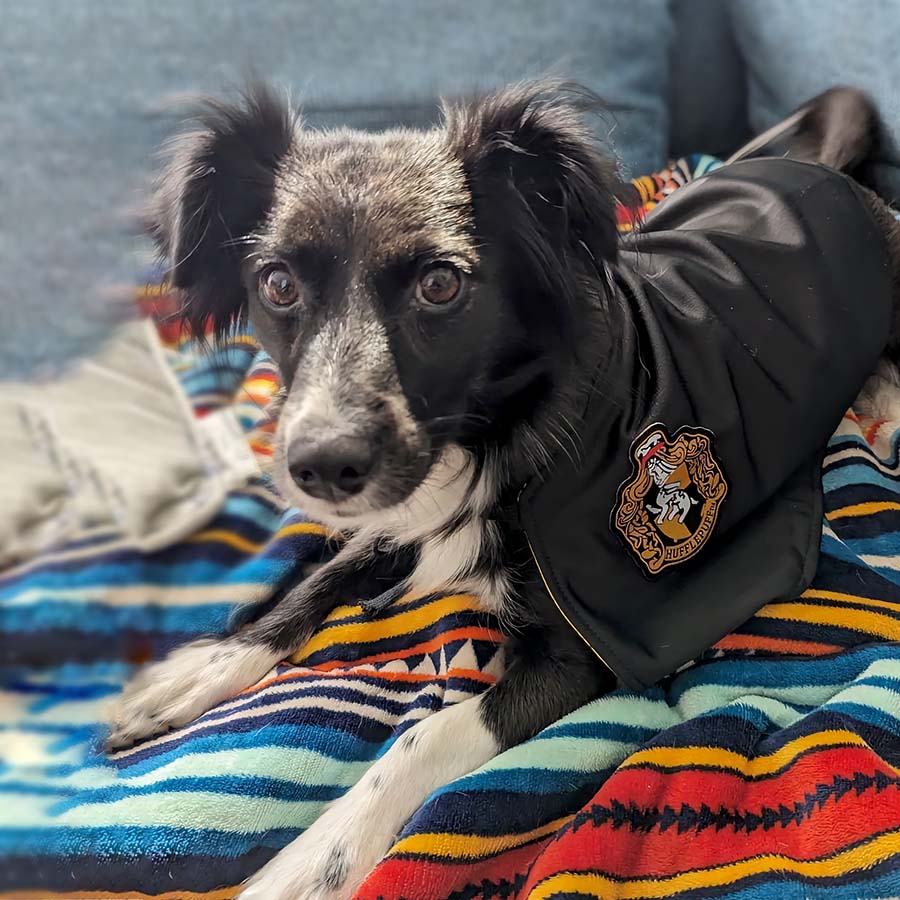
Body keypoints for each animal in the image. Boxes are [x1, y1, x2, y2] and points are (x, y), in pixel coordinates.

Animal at [105, 81, 900, 896]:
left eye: (440, 284)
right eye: (278, 284)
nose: (321, 467)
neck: (504, 434)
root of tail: (829, 177)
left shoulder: (582, 654)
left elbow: (427, 734)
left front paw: (316, 859)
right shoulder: (403, 512)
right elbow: (317, 579)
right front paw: (199, 670)